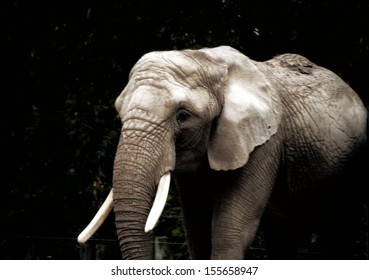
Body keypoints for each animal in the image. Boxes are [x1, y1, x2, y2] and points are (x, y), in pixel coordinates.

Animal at [77, 44, 366, 260]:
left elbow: (230, 230)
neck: (210, 62)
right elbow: (197, 231)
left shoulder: (264, 143)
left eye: (183, 116)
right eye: (119, 111)